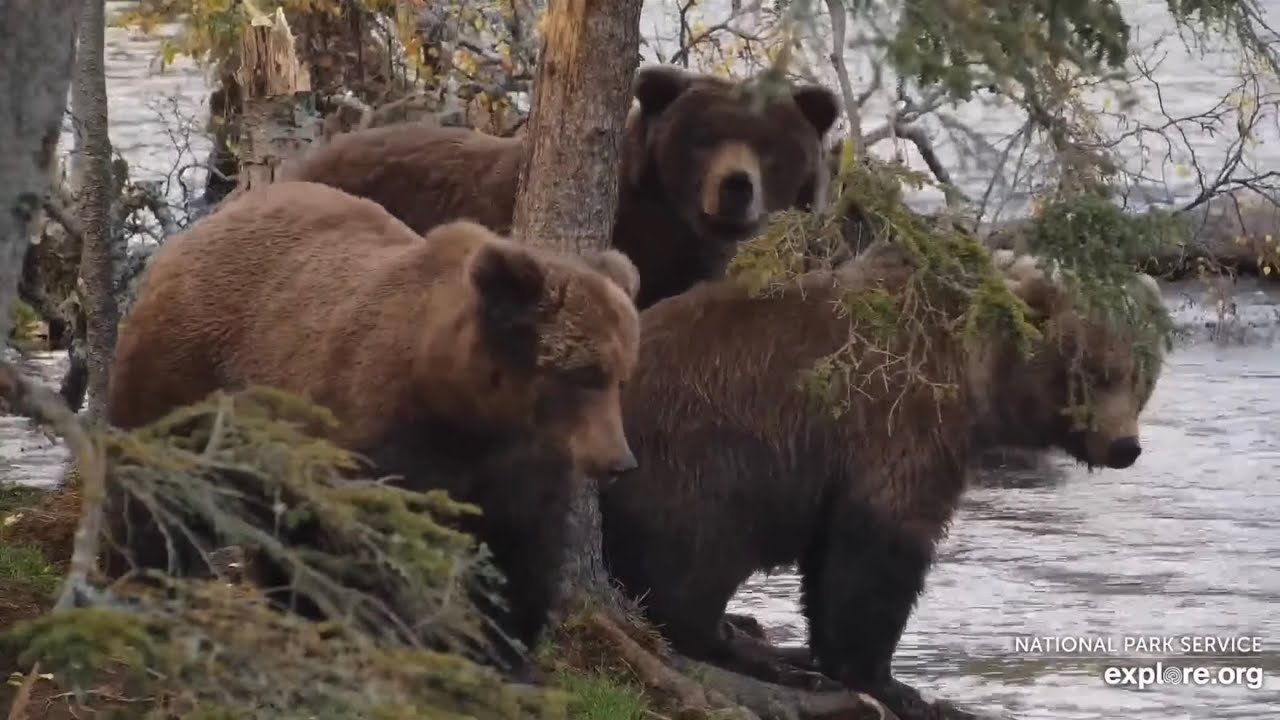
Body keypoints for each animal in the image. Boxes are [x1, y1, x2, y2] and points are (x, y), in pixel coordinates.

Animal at [103, 180, 642, 676]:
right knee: (152, 484)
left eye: (620, 376)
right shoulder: (377, 435)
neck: (459, 403)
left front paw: (503, 652)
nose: (619, 461)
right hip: (187, 372)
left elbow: (519, 557)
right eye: (583, 373)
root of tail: (192, 234)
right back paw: (143, 575)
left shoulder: (515, 467)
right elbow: (366, 545)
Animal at [598, 240, 1168, 718]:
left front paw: (833, 656)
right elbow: (881, 550)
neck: (973, 376)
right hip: (698, 457)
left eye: (1141, 375)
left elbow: (830, 560)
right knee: (692, 564)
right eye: (1090, 372)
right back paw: (761, 654)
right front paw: (893, 684)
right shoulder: (897, 423)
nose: (1125, 447)